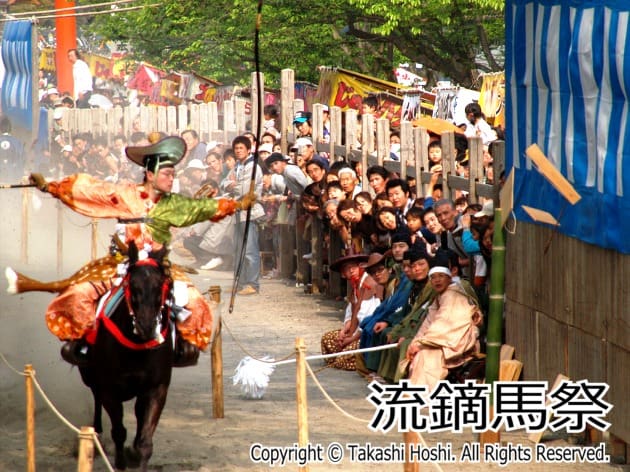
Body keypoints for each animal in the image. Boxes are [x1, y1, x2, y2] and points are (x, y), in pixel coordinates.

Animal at [80, 242, 177, 470]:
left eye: (160, 284)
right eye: (133, 284)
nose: (146, 326)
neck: (136, 347)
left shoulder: (156, 388)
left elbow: (145, 439)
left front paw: (137, 455)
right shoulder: (109, 389)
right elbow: (118, 431)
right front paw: (120, 461)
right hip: (89, 376)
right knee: (96, 398)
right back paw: (97, 434)